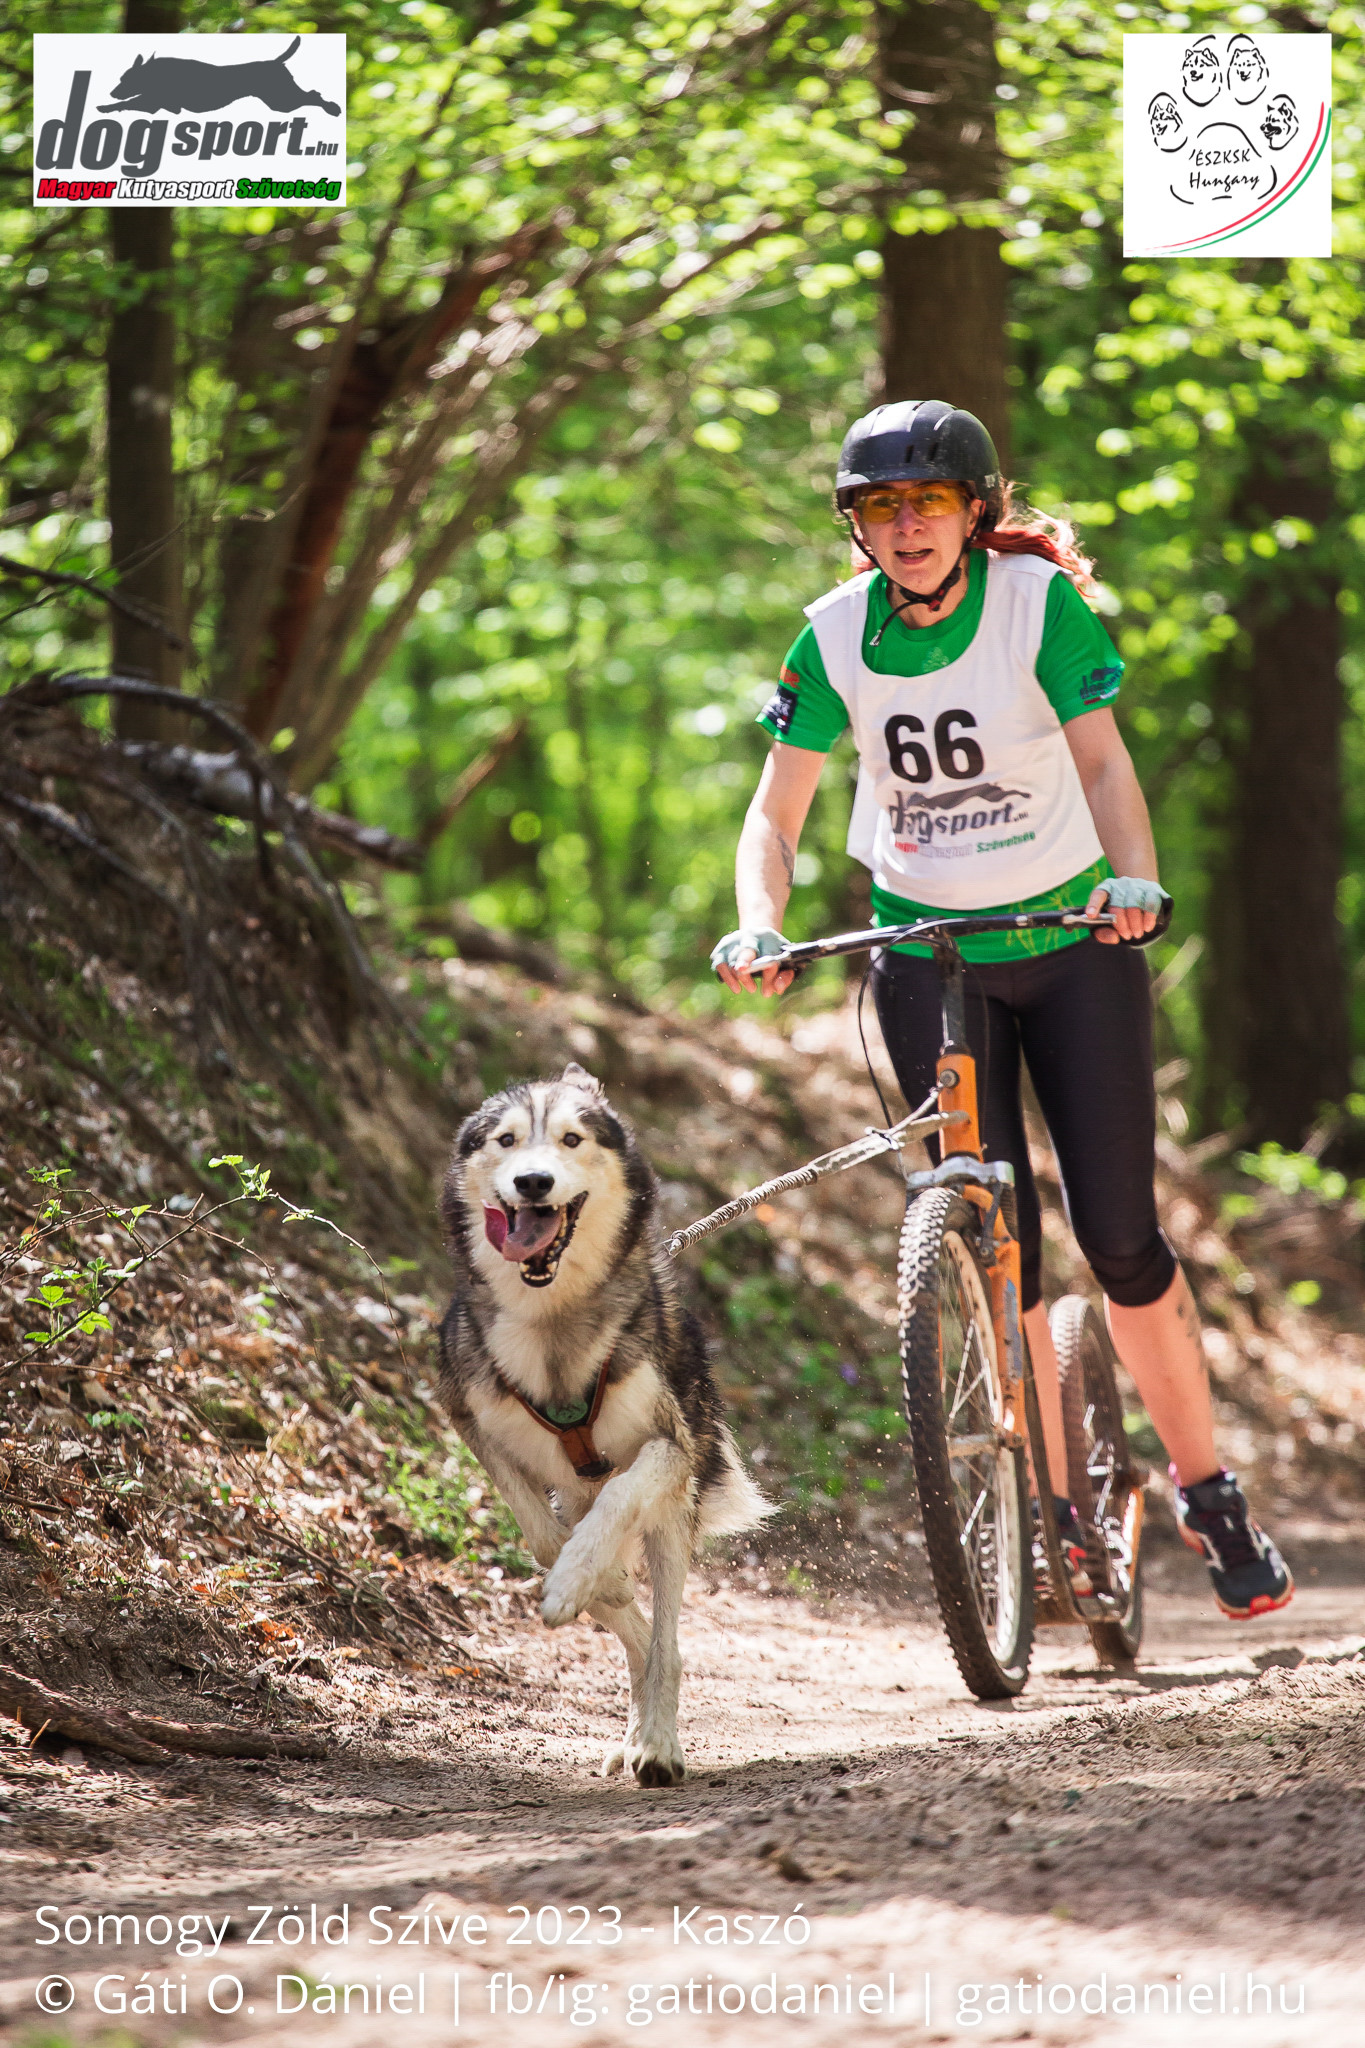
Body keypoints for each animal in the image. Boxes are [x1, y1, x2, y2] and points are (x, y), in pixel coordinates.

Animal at [437, 1064, 769, 1785]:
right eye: (505, 1141)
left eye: (571, 1138)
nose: (534, 1182)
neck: (554, 1324)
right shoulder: (470, 1417)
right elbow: (541, 1536)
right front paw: (587, 1578)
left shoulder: (671, 1446)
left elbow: (618, 1501)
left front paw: (577, 1579)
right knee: (636, 1635)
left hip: (673, 1516)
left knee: (666, 1641)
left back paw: (658, 1745)